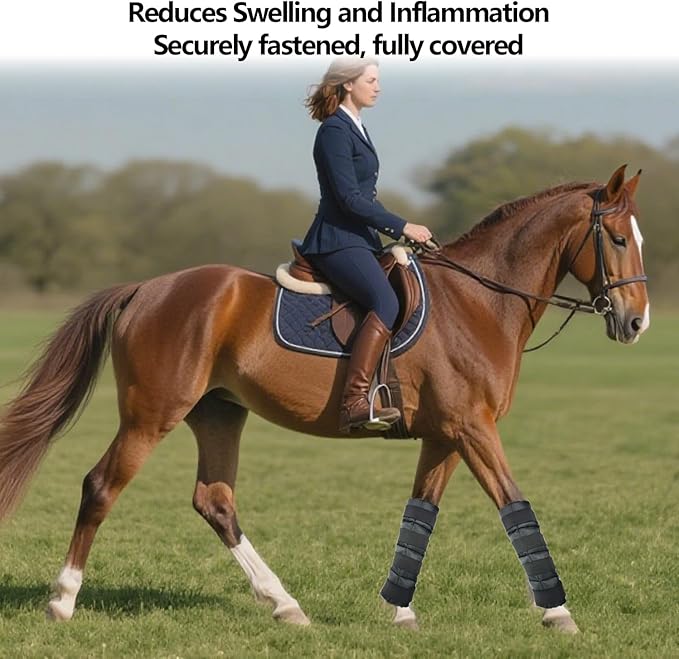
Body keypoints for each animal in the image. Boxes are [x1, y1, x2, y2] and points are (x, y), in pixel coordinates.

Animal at [0, 165, 649, 633]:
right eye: (617, 238)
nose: (637, 322)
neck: (479, 302)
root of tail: (145, 289)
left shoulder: (446, 435)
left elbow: (421, 515)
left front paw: (399, 611)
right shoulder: (473, 428)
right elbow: (515, 505)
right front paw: (558, 612)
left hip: (218, 414)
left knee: (215, 501)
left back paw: (285, 605)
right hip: (151, 415)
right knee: (101, 486)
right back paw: (62, 602)